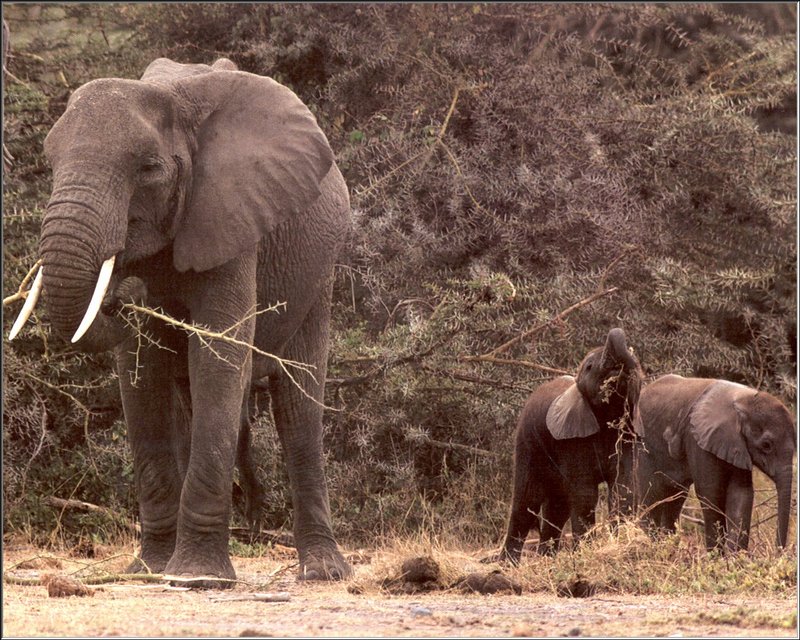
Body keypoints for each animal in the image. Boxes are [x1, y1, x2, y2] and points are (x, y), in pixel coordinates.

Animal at [6, 58, 350, 584]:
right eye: (48, 162)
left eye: (148, 168)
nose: (125, 290)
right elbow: (141, 375)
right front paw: (147, 569)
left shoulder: (231, 215)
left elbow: (218, 356)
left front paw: (198, 576)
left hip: (321, 267)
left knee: (298, 406)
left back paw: (323, 572)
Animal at [500, 328, 644, 564]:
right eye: (590, 367)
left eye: (639, 364)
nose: (619, 367)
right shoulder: (572, 441)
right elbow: (585, 495)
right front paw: (585, 552)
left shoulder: (627, 436)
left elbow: (624, 488)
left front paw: (621, 542)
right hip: (527, 442)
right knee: (526, 502)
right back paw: (507, 564)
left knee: (557, 506)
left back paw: (547, 559)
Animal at [632, 376, 792, 552]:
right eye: (766, 445)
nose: (778, 552)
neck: (744, 401)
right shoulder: (698, 440)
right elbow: (710, 492)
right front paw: (716, 555)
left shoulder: (737, 446)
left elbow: (741, 493)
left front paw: (735, 555)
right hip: (644, 445)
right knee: (651, 492)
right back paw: (647, 543)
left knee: (675, 496)